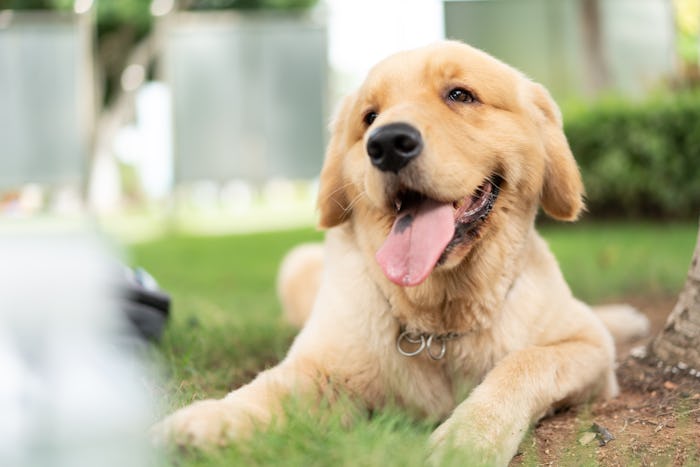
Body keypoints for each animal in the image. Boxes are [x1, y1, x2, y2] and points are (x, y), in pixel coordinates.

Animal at [156, 42, 648, 466]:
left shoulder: (587, 347)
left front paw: (469, 436)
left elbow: (523, 362)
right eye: (369, 117)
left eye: (460, 94)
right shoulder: (323, 366)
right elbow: (266, 389)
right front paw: (208, 419)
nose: (387, 143)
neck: (439, 325)